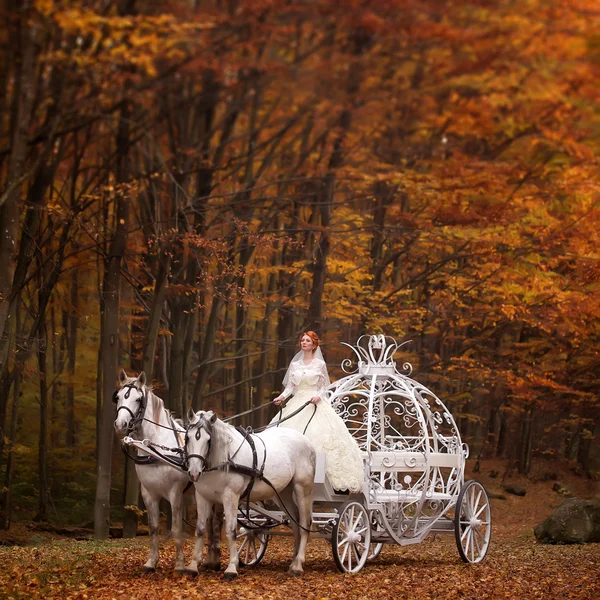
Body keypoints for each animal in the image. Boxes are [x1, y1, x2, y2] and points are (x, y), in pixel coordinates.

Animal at [113, 370, 221, 572]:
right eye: (118, 397)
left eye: (138, 399)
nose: (120, 424)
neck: (156, 447)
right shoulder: (148, 493)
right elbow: (153, 527)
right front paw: (151, 562)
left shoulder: (175, 493)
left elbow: (176, 528)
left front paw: (179, 564)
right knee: (209, 522)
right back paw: (210, 560)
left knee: (216, 522)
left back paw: (215, 559)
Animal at [186, 410, 316, 580]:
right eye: (188, 437)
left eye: (208, 439)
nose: (194, 472)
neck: (223, 458)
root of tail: (307, 441)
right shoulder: (202, 497)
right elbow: (201, 529)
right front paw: (193, 566)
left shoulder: (230, 497)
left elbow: (231, 530)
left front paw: (231, 568)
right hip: (284, 493)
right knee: (295, 524)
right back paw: (293, 562)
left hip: (303, 488)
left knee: (304, 524)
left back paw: (298, 565)